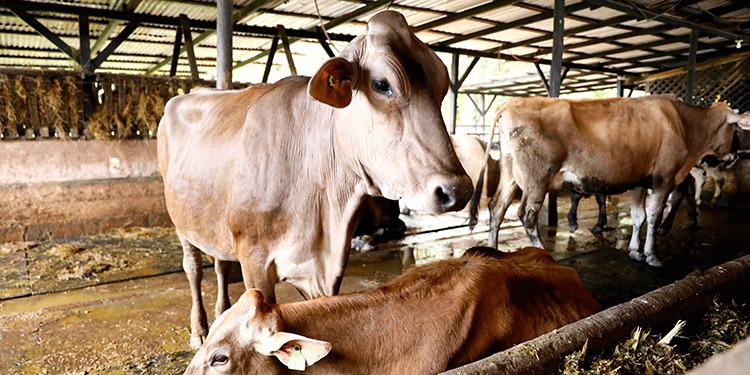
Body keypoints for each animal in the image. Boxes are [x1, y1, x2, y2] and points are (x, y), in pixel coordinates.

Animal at [159, 10, 472, 350]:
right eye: (382, 85)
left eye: (442, 86)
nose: (457, 190)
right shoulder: (254, 259)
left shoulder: (326, 265)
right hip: (181, 222)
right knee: (194, 268)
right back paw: (200, 330)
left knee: (219, 263)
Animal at [478, 97, 748, 268]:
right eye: (736, 130)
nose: (736, 155)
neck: (683, 123)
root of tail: (511, 103)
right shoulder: (664, 178)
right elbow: (653, 216)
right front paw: (651, 255)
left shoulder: (639, 182)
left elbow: (639, 217)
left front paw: (635, 251)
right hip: (537, 179)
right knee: (527, 215)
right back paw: (544, 254)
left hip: (510, 175)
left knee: (497, 209)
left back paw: (493, 252)